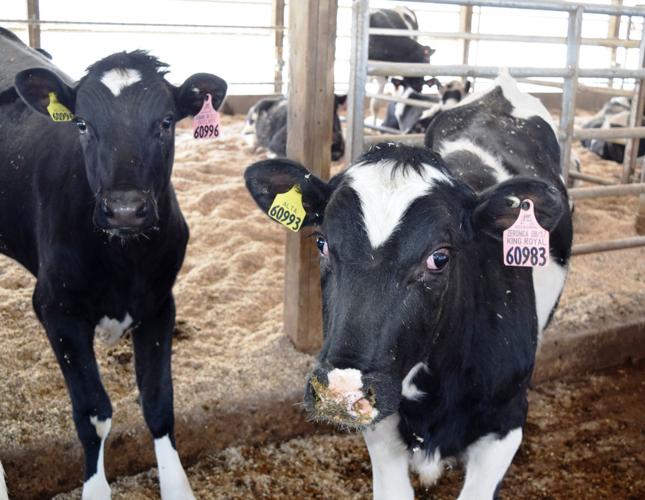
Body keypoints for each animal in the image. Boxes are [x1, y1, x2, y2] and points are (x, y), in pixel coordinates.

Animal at [0, 32, 227, 499]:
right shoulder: (56, 310)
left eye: (165, 122)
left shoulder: (160, 304)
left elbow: (159, 403)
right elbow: (93, 415)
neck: (125, 261)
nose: (125, 208)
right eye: (82, 124)